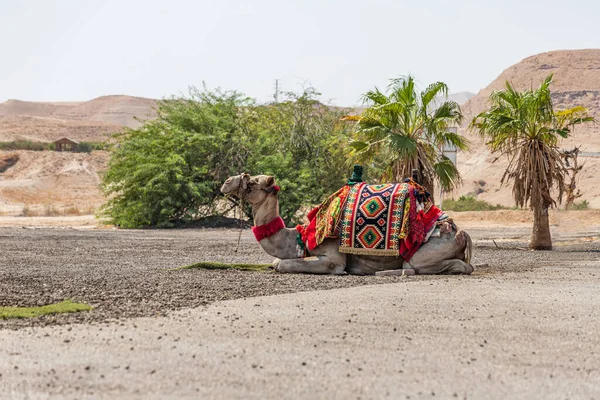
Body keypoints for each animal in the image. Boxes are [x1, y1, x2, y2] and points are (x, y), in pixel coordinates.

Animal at [220, 173, 474, 276]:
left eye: (253, 181)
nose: (226, 182)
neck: (300, 236)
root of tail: (461, 233)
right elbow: (275, 261)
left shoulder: (333, 258)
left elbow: (281, 264)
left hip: (423, 253)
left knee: (453, 266)